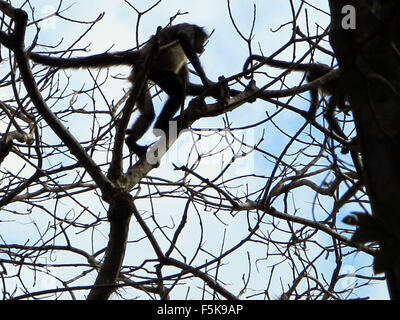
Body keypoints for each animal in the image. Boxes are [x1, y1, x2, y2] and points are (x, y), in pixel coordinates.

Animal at [29, 22, 217, 156]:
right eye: (203, 41)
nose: (203, 48)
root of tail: (141, 55)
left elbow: (188, 86)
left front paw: (220, 90)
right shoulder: (188, 30)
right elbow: (183, 38)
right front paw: (207, 82)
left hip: (141, 77)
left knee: (149, 113)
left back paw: (132, 142)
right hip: (152, 71)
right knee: (177, 92)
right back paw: (159, 126)